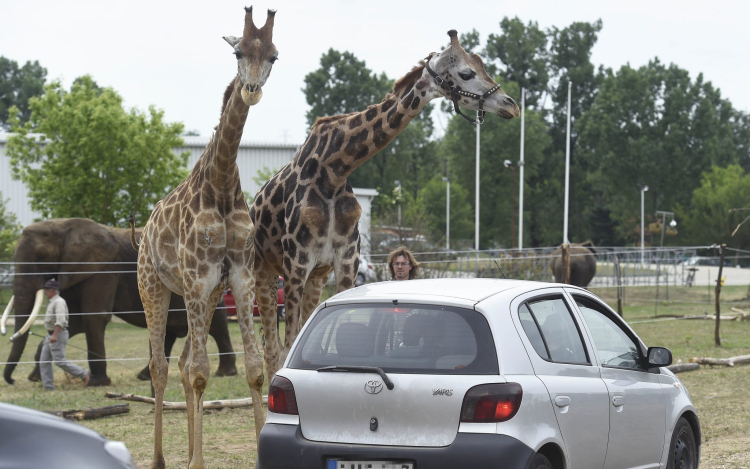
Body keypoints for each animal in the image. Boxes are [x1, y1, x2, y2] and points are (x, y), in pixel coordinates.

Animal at [1, 218, 236, 386]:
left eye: (41, 257)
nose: (11, 380)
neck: (63, 225)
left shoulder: (102, 270)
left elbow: (93, 318)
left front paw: (96, 383)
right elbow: (74, 322)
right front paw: (35, 378)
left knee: (217, 326)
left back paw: (225, 373)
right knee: (165, 332)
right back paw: (145, 376)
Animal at [131, 6, 280, 464]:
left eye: (273, 56)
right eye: (237, 52)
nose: (251, 90)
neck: (223, 182)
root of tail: (142, 234)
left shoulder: (239, 278)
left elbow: (254, 369)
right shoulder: (197, 279)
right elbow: (200, 373)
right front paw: (196, 463)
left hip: (207, 295)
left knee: (181, 365)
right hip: (154, 286)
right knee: (162, 367)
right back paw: (162, 459)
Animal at [250, 29, 520, 378]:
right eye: (466, 73)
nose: (511, 105)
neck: (334, 171)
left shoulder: (346, 261)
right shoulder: (296, 264)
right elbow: (287, 348)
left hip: (317, 275)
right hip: (264, 270)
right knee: (269, 351)